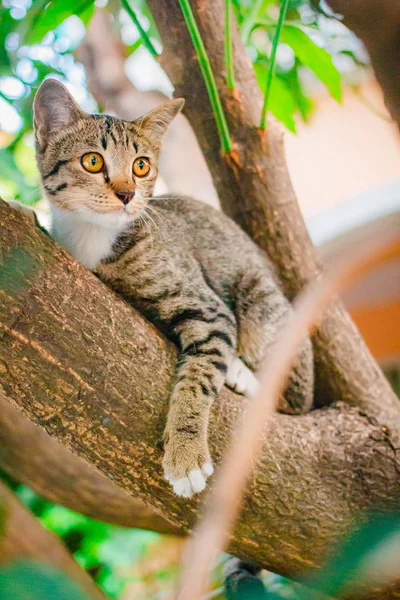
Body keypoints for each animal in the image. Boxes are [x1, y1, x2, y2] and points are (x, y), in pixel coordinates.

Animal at [12, 81, 314, 502]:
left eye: (141, 166)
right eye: (93, 162)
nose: (126, 194)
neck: (95, 237)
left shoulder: (209, 309)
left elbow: (198, 377)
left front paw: (185, 453)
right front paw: (23, 212)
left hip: (259, 296)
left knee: (292, 398)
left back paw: (244, 374)